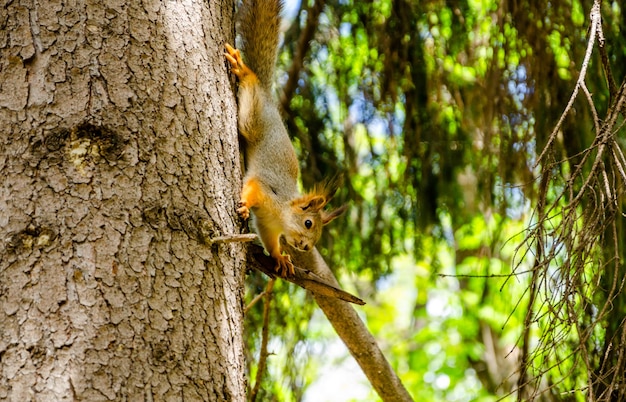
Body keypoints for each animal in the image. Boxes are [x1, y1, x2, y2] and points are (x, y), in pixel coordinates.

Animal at [223, 0, 344, 276]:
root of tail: (268, 97)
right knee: (251, 86)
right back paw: (243, 70)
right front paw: (244, 204)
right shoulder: (267, 191)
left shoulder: (268, 227)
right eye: (308, 223)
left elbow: (270, 242)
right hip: (253, 115)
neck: (282, 215)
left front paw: (280, 258)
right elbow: (253, 187)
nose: (306, 247)